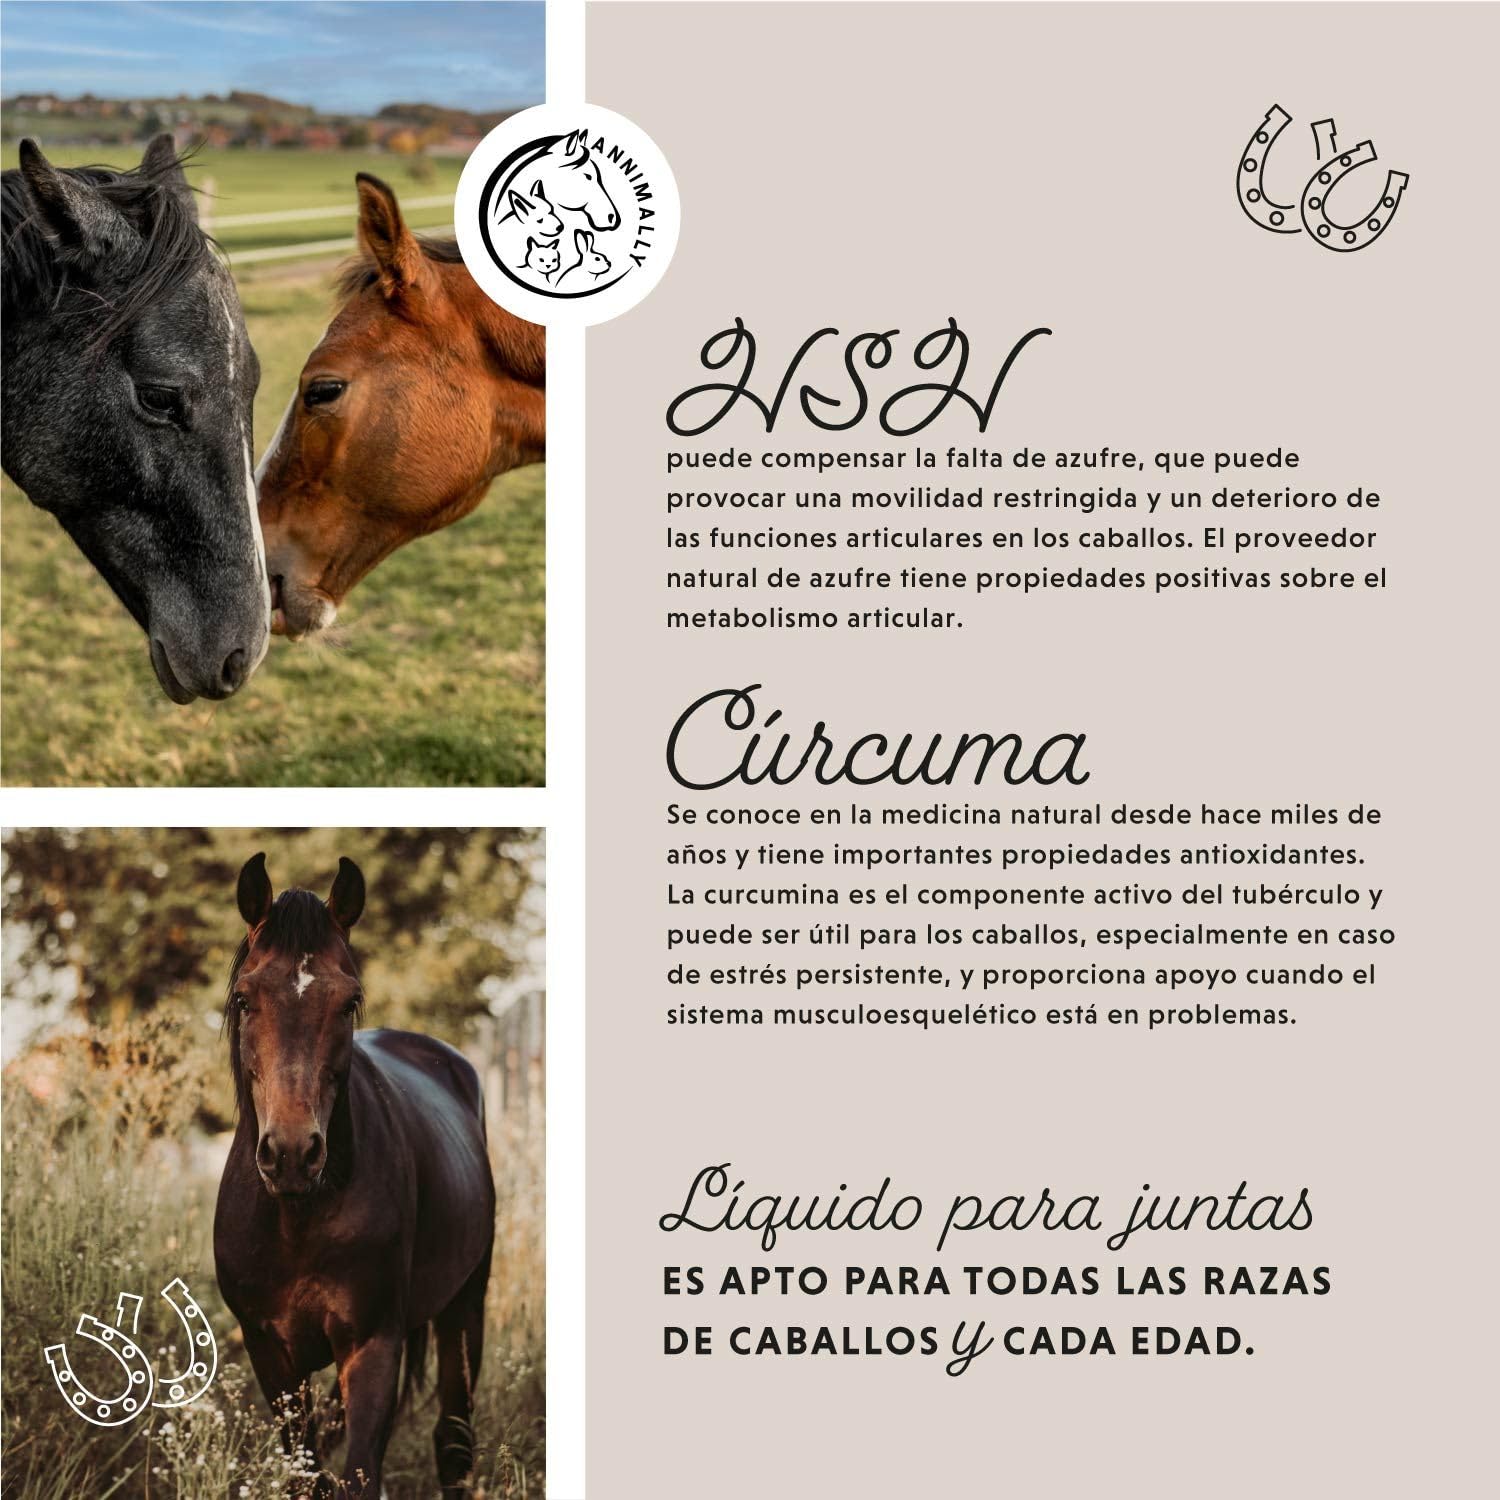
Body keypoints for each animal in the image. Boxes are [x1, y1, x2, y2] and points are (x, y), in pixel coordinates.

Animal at [214, 853, 495, 1498]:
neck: (298, 1218)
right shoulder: (270, 1352)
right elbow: (307, 1474)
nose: (293, 1153)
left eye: (348, 1002)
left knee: (454, 1442)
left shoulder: (372, 1346)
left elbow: (362, 1474)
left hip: (465, 1306)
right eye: (243, 999)